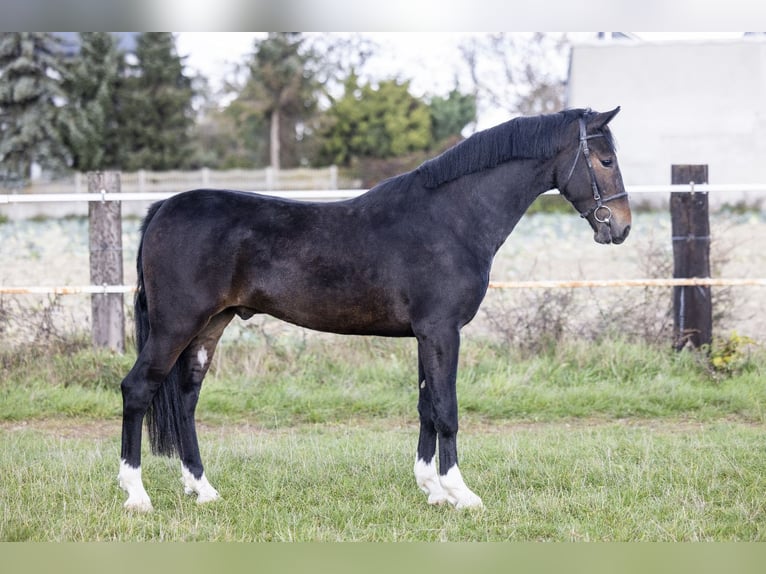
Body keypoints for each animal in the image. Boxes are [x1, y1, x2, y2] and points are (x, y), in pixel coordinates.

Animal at [118, 107, 632, 512]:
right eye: (605, 160)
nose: (621, 227)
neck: (452, 218)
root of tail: (162, 208)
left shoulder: (427, 335)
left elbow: (426, 406)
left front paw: (433, 489)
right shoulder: (442, 331)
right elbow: (447, 409)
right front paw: (461, 494)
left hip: (210, 326)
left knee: (186, 398)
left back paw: (202, 489)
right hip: (175, 326)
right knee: (137, 389)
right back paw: (137, 495)